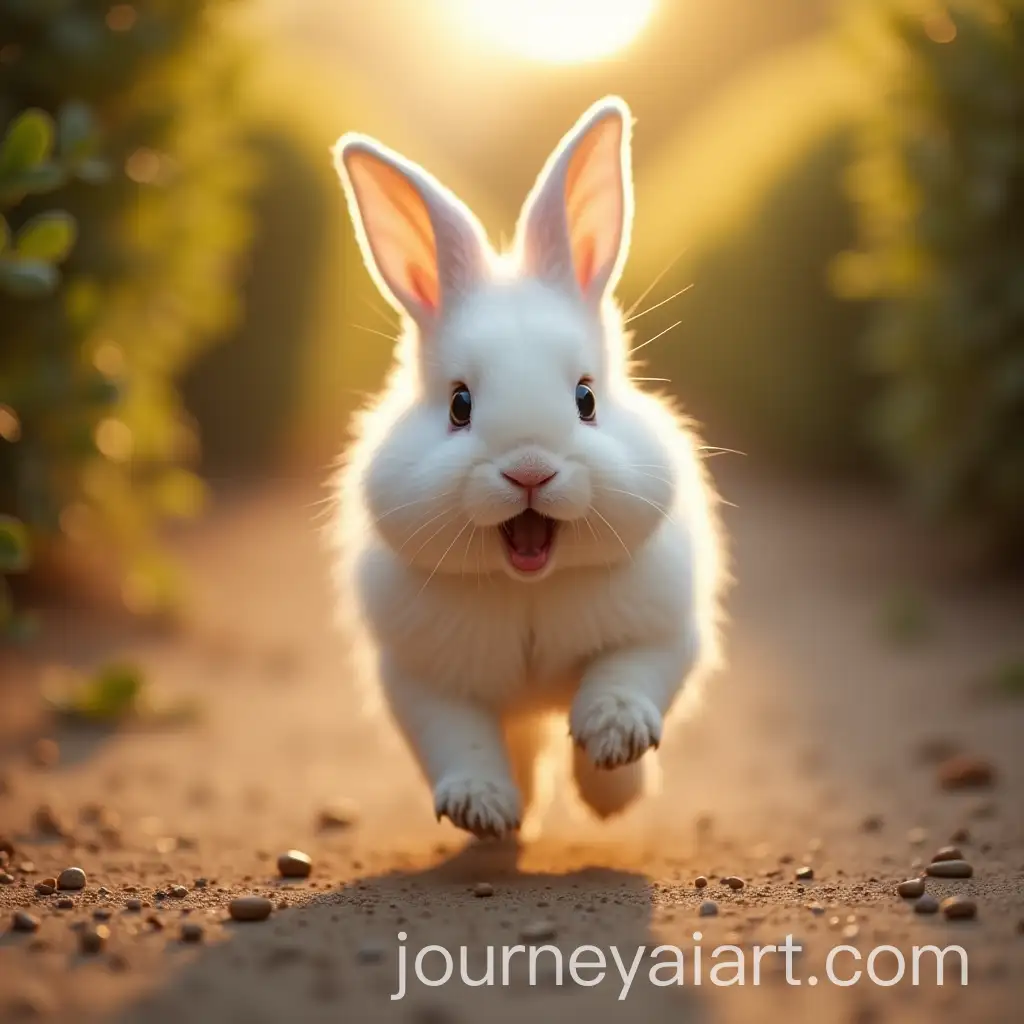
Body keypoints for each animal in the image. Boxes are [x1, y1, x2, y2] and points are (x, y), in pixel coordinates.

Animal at [329, 96, 727, 841]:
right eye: (459, 405)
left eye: (586, 398)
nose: (531, 471)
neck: (530, 587)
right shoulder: (423, 679)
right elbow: (461, 739)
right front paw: (483, 809)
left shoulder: (663, 631)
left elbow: (626, 680)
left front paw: (612, 762)